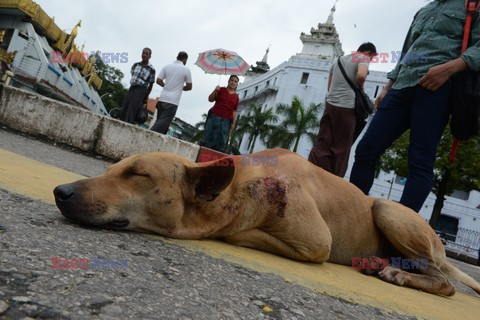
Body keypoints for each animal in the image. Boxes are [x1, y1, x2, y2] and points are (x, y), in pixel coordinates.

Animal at [54, 149, 480, 296]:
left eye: (138, 175)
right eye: (112, 169)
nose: (61, 191)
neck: (240, 184)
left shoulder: (317, 244)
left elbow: (239, 234)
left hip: (388, 211)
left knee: (445, 283)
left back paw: (402, 273)